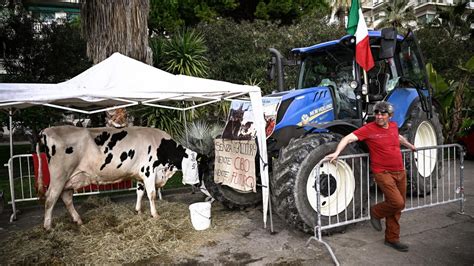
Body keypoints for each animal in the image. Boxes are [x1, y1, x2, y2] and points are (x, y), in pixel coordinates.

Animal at [37, 125, 198, 230]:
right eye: (194, 165)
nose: (196, 183)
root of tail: (46, 130)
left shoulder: (140, 174)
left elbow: (140, 192)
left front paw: (138, 211)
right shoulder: (149, 171)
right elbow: (151, 194)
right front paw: (155, 214)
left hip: (70, 179)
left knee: (66, 198)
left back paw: (78, 220)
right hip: (59, 176)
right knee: (50, 198)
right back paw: (48, 227)